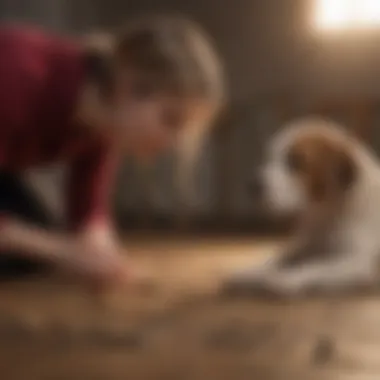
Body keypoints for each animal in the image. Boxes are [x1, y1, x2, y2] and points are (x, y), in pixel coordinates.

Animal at [224, 117, 380, 296]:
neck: (325, 214)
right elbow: (278, 259)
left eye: (295, 162)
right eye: (268, 157)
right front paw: (253, 273)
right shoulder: (305, 247)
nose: (252, 185)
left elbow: (315, 266)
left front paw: (287, 278)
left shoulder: (358, 262)